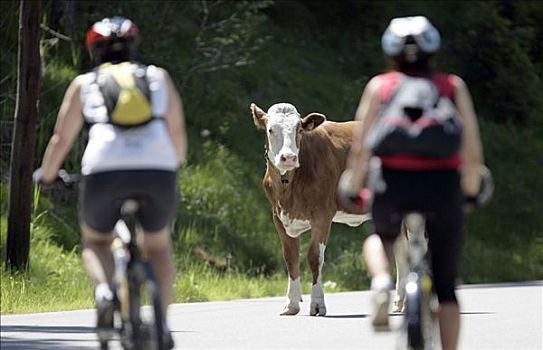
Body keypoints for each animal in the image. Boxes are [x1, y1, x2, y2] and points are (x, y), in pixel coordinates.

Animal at [251, 102, 420, 318]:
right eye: (270, 129)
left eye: (299, 129)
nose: (288, 157)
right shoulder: (278, 218)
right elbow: (290, 259)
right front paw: (291, 305)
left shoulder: (322, 216)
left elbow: (314, 257)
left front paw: (317, 304)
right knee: (402, 255)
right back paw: (399, 303)